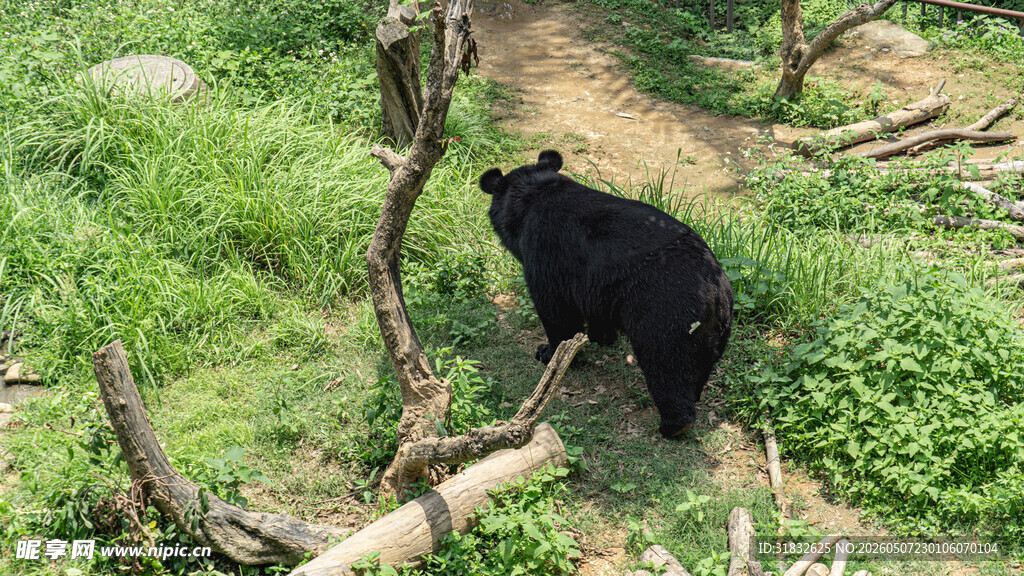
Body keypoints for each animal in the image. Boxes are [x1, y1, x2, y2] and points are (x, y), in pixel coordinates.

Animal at [479, 150, 734, 438]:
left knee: (666, 366)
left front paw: (549, 353)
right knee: (701, 365)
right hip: (711, 331)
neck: (533, 195)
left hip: (664, 315)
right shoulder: (596, 283)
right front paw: (598, 337)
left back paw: (673, 425)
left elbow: (557, 312)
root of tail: (716, 290)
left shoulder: (547, 255)